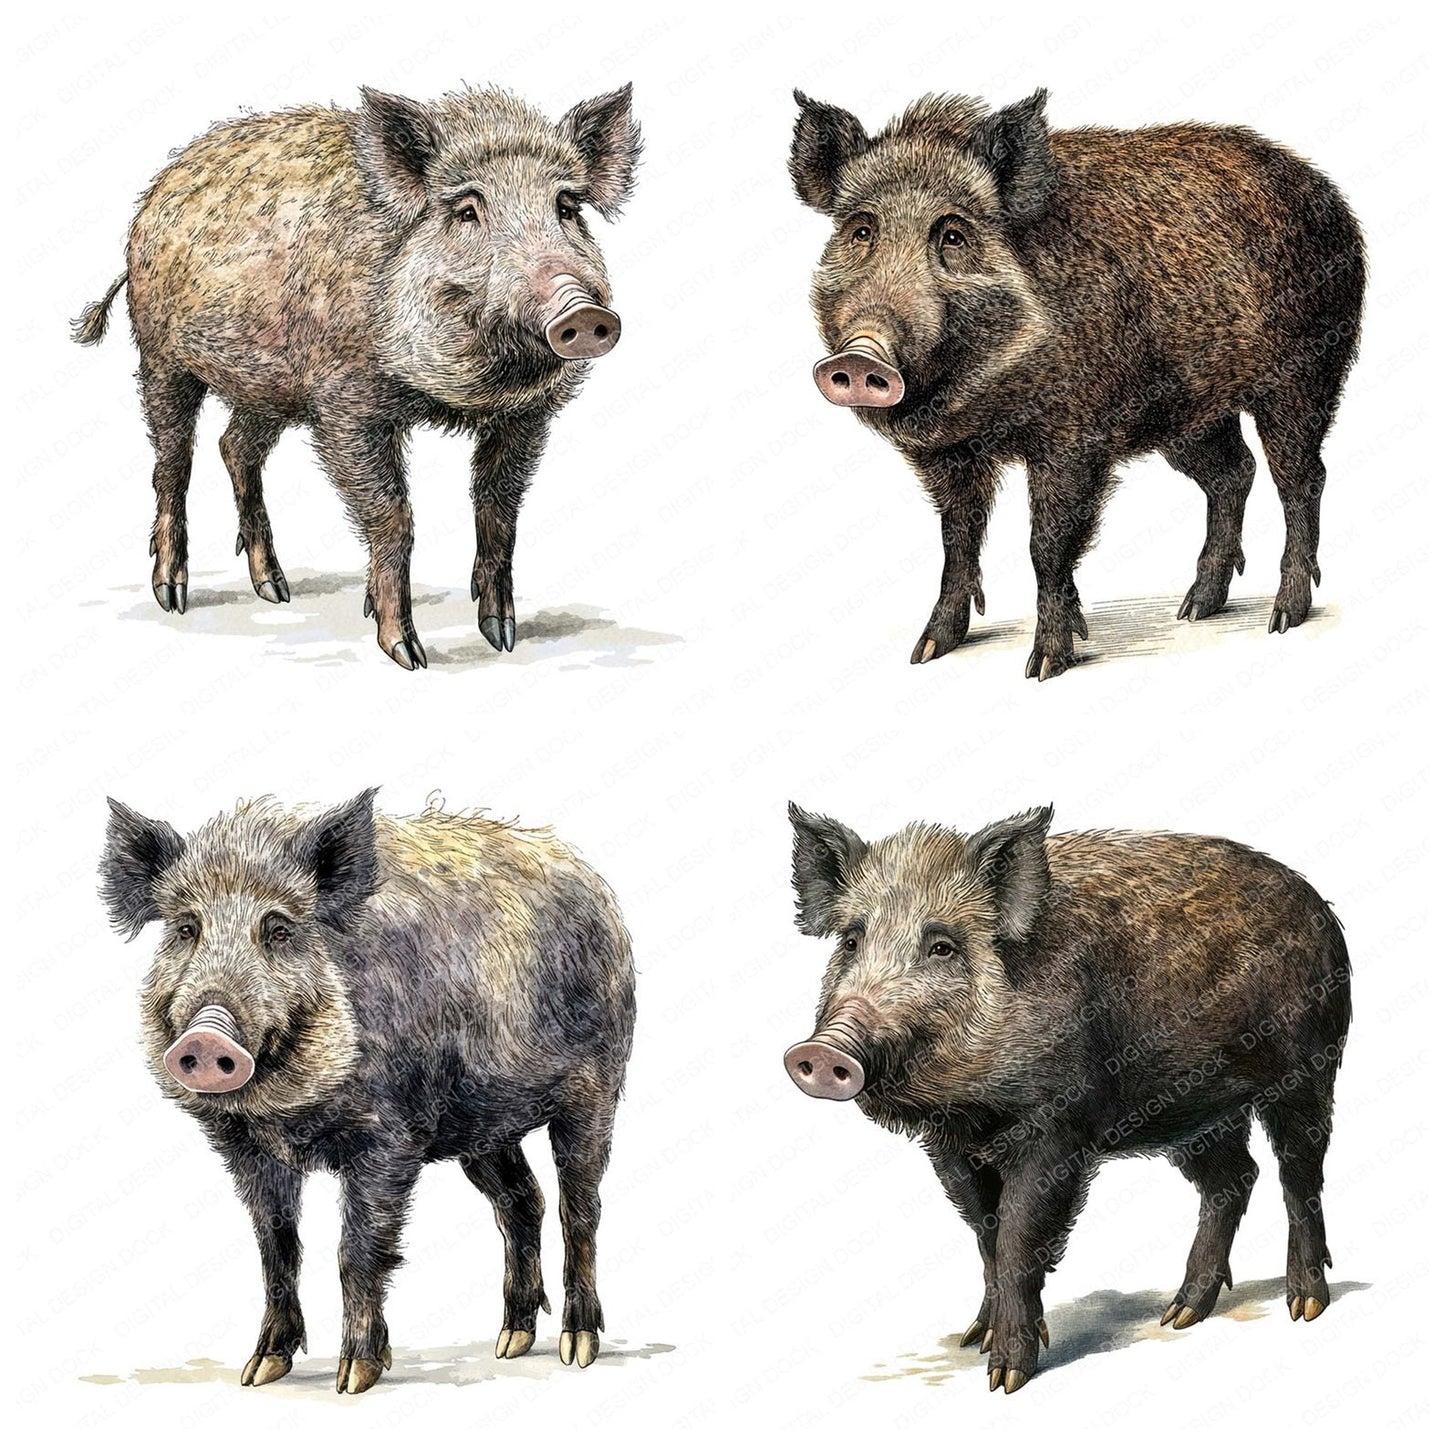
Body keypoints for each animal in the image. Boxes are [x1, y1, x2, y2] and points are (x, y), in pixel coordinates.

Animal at [75, 84, 642, 669]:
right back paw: (173, 596)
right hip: (160, 357)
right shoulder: (347, 408)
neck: (461, 392)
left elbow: (499, 513)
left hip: (268, 387)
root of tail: (155, 195)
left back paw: (275, 590)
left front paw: (502, 637)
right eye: (467, 210)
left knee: (234, 447)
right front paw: (408, 654)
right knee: (172, 463)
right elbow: (395, 517)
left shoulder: (525, 417)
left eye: (566, 207)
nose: (581, 312)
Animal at [100, 791, 636, 1393]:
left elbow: (356, 1250)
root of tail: (597, 887)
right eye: (186, 929)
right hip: (483, 1126)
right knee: (522, 1202)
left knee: (580, 1207)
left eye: (279, 930)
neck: (287, 1115)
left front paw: (353, 1378)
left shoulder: (390, 1139)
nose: (207, 1036)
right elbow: (275, 1249)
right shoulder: (245, 1149)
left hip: (596, 1088)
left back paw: (577, 1349)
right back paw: (510, 1344)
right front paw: (260, 1371)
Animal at [784, 802, 1351, 1394]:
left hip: (1309, 1067)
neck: (976, 1111)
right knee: (1234, 1179)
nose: (822, 1051)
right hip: (1196, 1111)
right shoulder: (948, 1148)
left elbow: (1018, 1237)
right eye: (852, 941)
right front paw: (973, 1340)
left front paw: (1006, 1378)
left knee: (1299, 1172)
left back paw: (1305, 1306)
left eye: (942, 946)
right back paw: (1178, 1316)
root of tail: (1319, 906)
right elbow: (985, 1234)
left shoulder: (1059, 1128)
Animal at [789, 90, 1366, 679]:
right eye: (862, 231)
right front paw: (926, 652)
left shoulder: (1074, 439)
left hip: (1306, 376)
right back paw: (1194, 610)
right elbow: (958, 539)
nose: (862, 355)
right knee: (1234, 472)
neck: (988, 402)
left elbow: (1046, 545)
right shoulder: (948, 452)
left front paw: (1044, 665)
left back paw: (1283, 618)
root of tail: (1328, 195)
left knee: (1301, 478)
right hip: (1189, 416)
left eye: (953, 235)